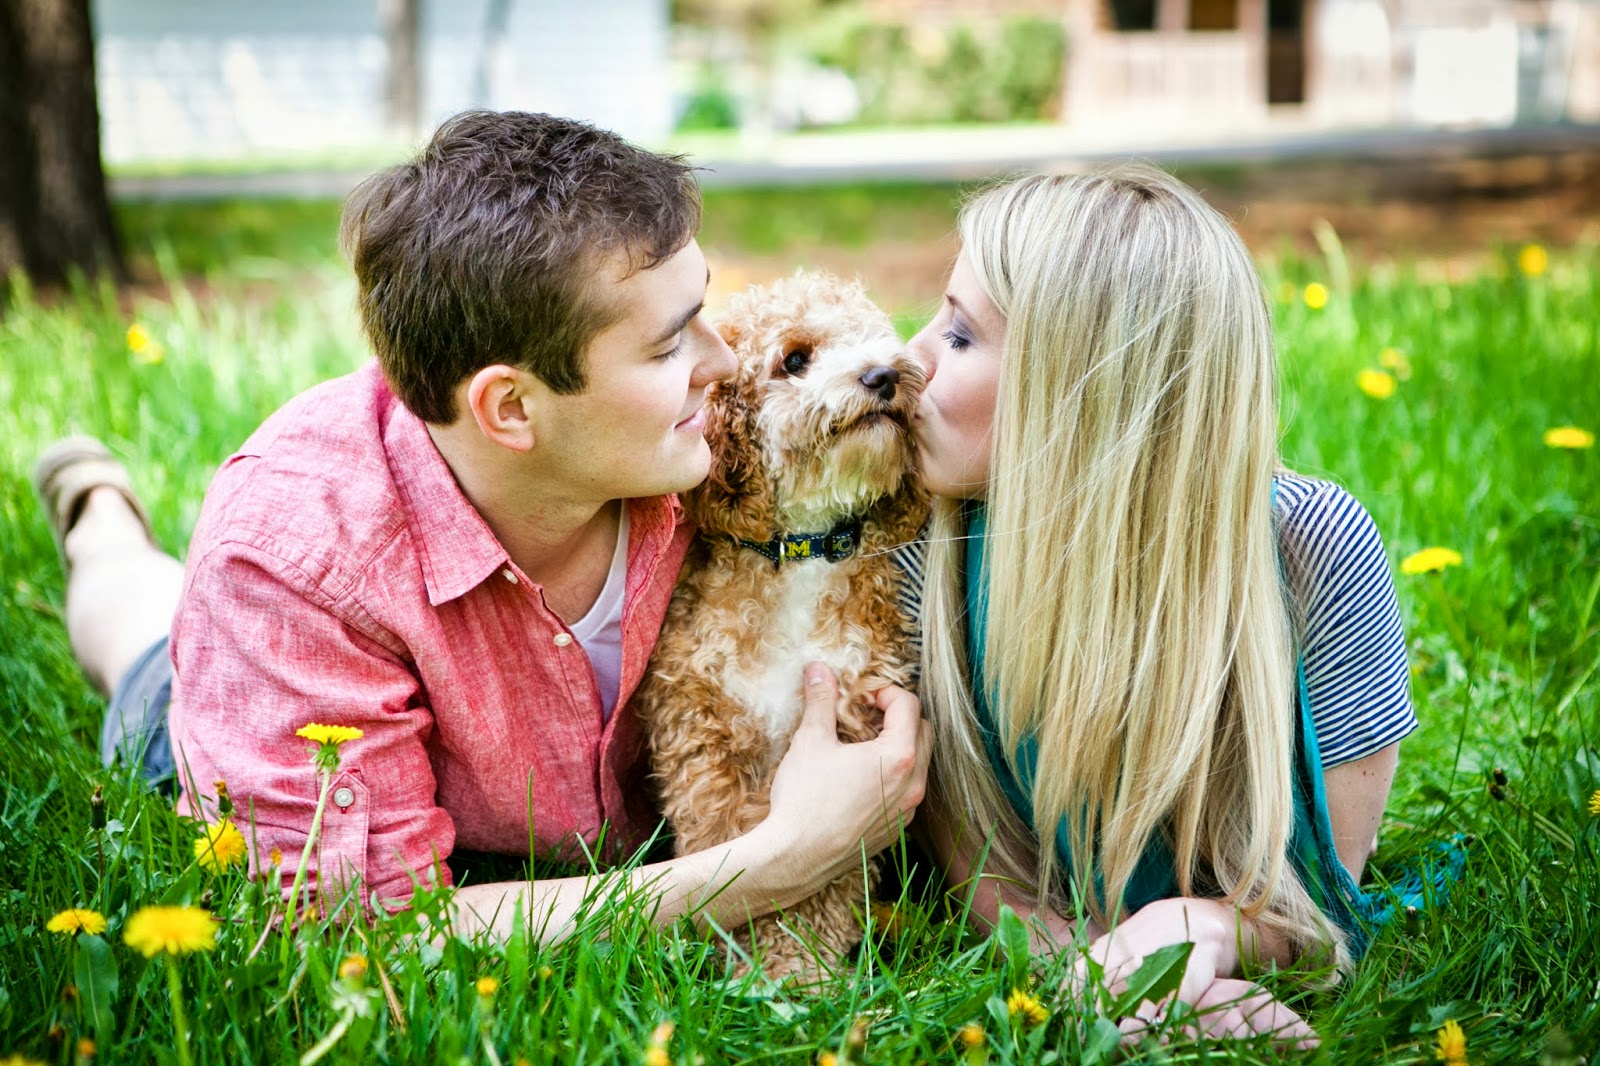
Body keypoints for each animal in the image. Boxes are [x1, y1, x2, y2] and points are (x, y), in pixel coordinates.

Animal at [636, 267, 934, 979]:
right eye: (795, 360)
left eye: (877, 337)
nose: (885, 374)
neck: (803, 549)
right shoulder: (708, 744)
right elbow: (733, 862)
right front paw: (742, 967)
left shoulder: (855, 723)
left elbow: (822, 888)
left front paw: (804, 975)